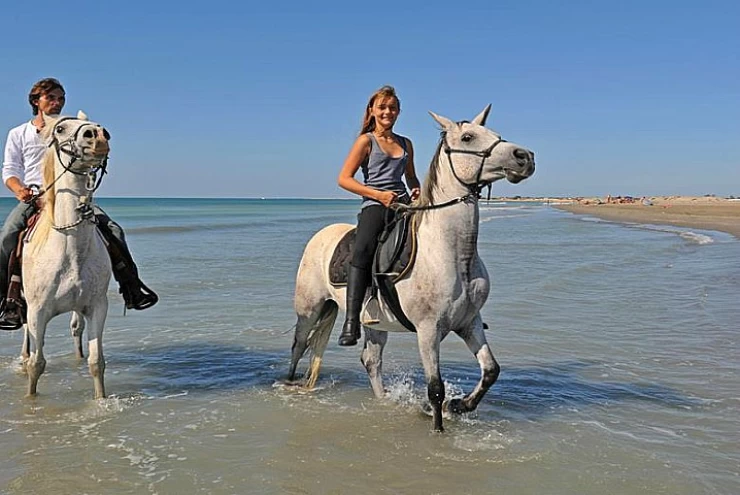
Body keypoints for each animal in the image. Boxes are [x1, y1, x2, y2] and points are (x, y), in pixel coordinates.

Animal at [21, 112, 112, 400]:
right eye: (61, 129)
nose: (98, 135)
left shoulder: (96, 307)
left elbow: (97, 362)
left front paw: (100, 400)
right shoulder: (38, 312)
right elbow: (37, 364)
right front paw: (30, 399)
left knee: (76, 329)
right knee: (26, 337)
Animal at [286, 104, 536, 430]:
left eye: (496, 134)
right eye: (468, 137)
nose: (525, 157)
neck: (452, 254)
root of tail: (320, 235)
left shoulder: (468, 321)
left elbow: (491, 370)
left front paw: (460, 405)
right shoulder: (428, 330)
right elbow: (435, 388)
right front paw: (439, 428)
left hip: (374, 323)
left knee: (371, 360)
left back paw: (383, 401)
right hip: (310, 308)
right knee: (299, 345)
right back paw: (289, 385)